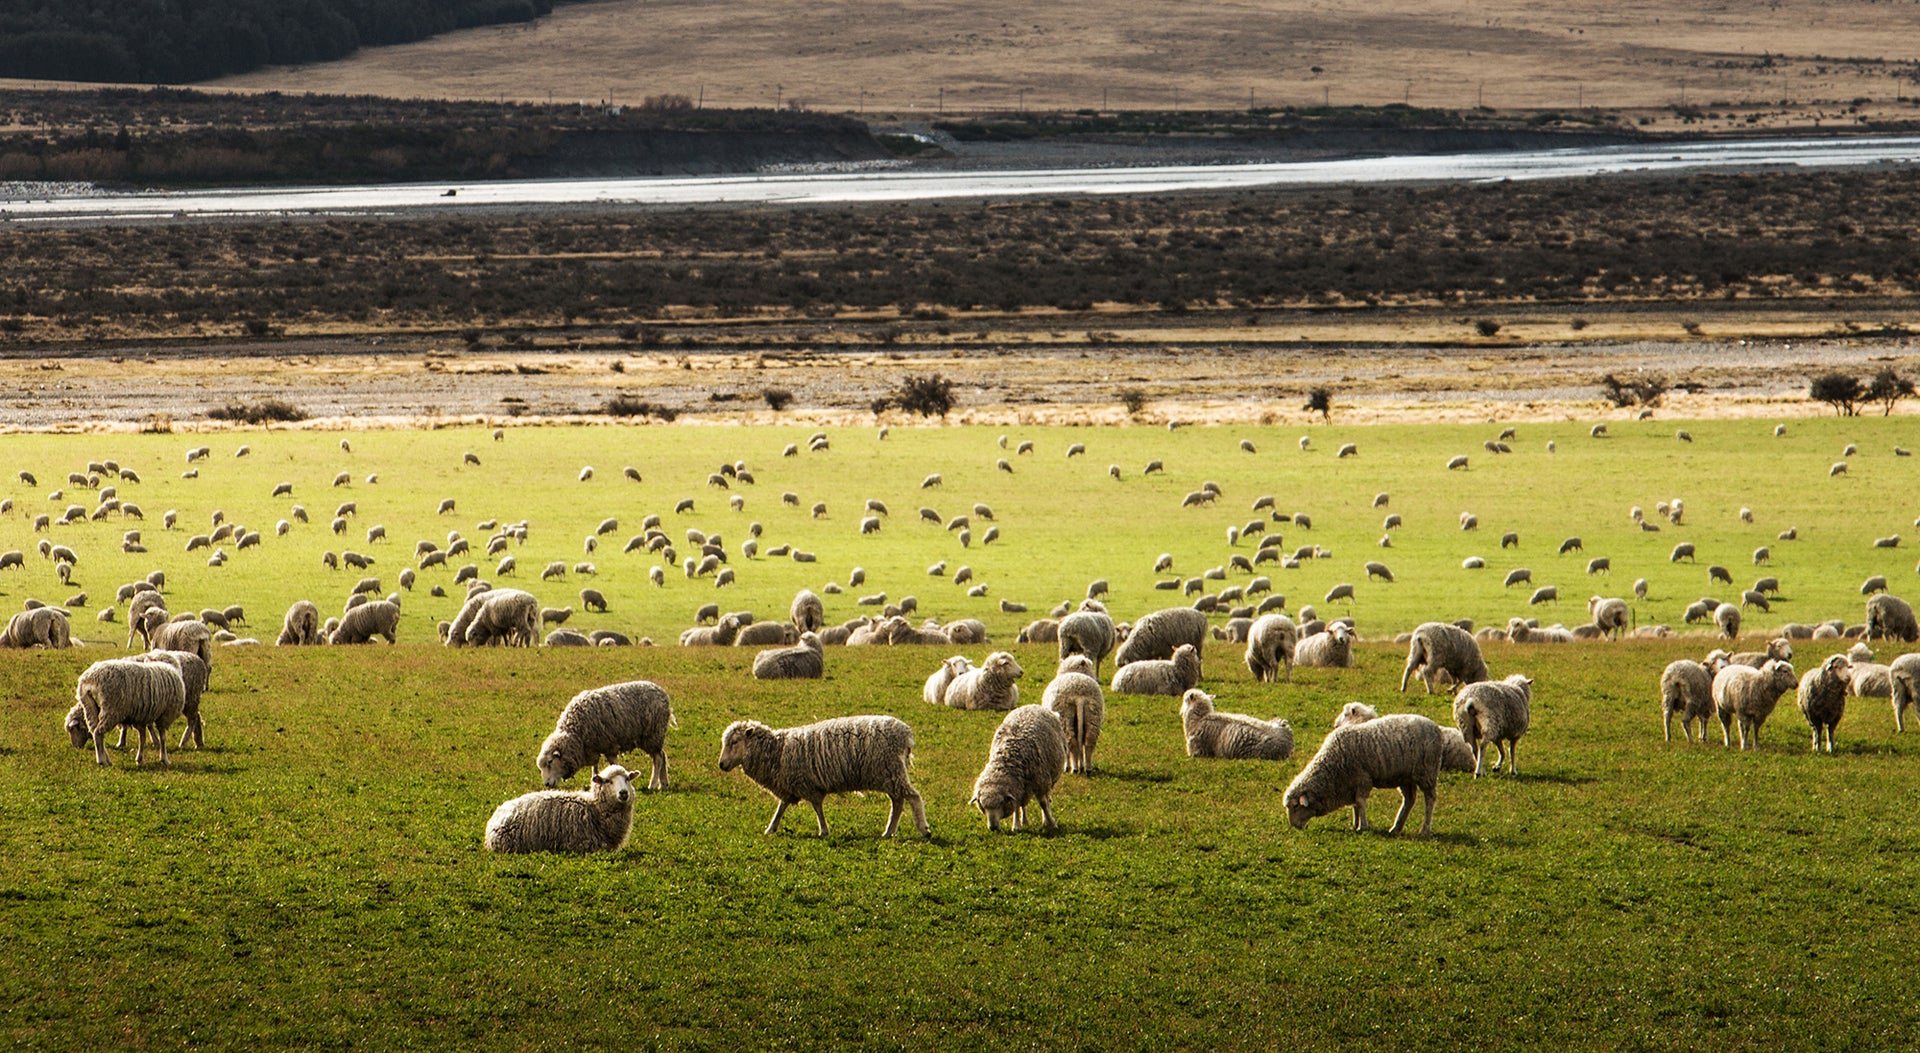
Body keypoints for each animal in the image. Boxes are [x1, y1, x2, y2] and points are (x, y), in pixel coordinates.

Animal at [533, 684, 675, 791]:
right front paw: (595, 782)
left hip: (653, 734)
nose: (547, 784)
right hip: (654, 737)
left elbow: (614, 764)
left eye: (550, 761)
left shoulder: (609, 745)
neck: (575, 733)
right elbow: (595, 766)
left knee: (657, 758)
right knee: (662, 755)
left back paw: (653, 784)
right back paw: (664, 783)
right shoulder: (592, 747)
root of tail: (663, 693)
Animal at [721, 714, 929, 837]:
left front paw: (824, 831)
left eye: (734, 741)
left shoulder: (807, 785)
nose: (721, 765)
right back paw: (889, 832)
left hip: (891, 770)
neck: (777, 752)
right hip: (890, 774)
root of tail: (905, 734)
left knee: (913, 797)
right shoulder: (790, 786)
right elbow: (781, 807)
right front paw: (771, 828)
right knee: (898, 802)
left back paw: (923, 829)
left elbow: (817, 808)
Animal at [967, 703, 1075, 833]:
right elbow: (1016, 806)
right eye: (982, 805)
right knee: (1023, 804)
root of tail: (1031, 705)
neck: (1008, 758)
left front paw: (1051, 823)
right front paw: (1016, 825)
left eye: (1001, 803)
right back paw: (1025, 821)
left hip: (1047, 779)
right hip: (1025, 786)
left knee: (1046, 799)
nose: (993, 828)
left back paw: (1045, 819)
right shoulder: (1016, 789)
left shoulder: (1041, 782)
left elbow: (1043, 804)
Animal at [1290, 710, 1443, 833]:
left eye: (1296, 806)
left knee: (1430, 799)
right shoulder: (1351, 782)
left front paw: (1362, 827)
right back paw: (1396, 827)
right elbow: (1355, 805)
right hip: (1406, 777)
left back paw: (1424, 829)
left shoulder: (1362, 779)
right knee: (1409, 800)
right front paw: (1355, 823)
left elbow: (1360, 802)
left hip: (1427, 772)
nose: (1293, 826)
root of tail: (1435, 727)